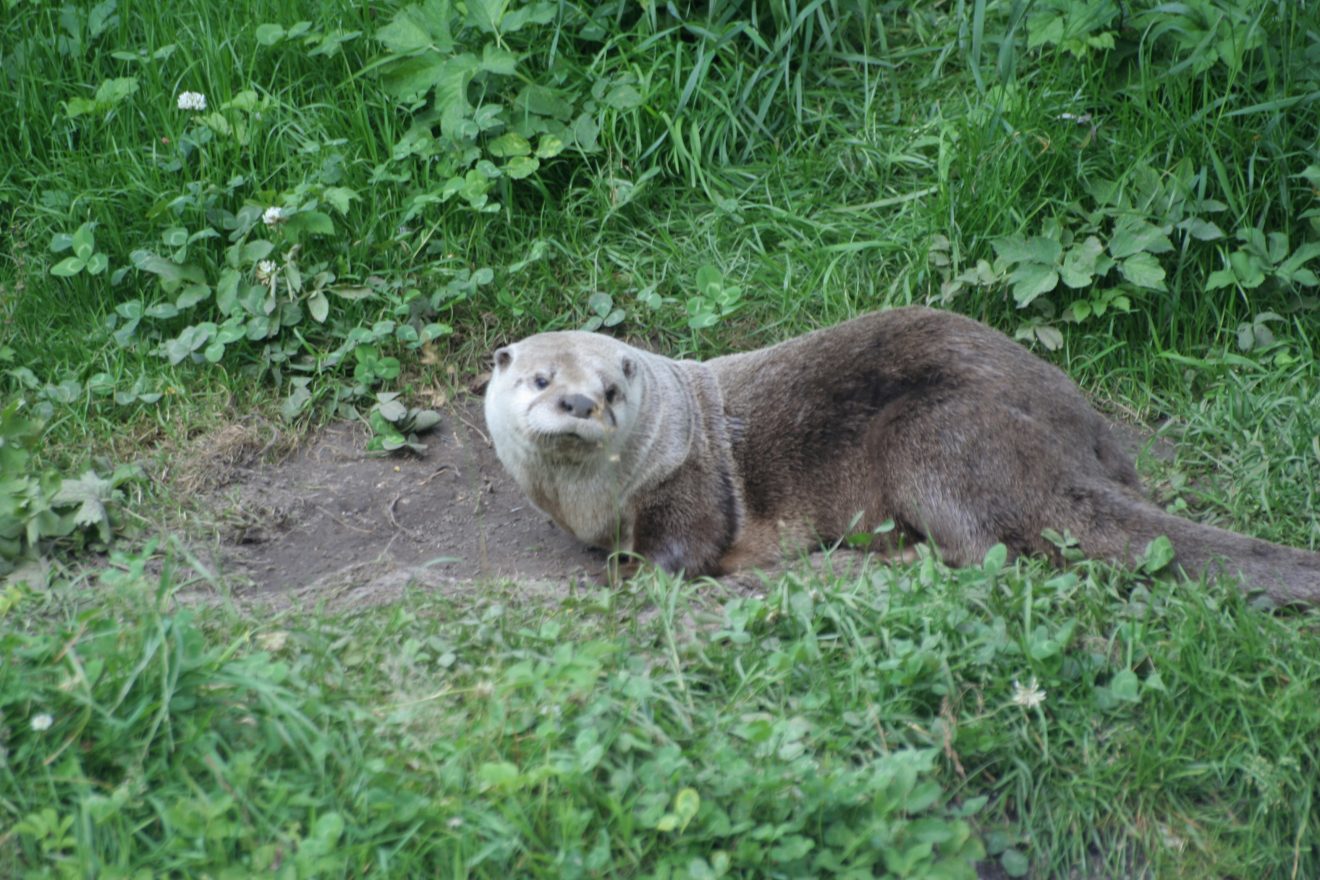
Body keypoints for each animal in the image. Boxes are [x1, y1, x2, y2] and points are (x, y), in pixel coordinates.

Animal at [485, 304, 1320, 606]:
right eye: (541, 378)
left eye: (611, 389)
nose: (580, 404)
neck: (594, 506)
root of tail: (1071, 448)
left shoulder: (685, 485)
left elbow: (684, 550)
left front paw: (628, 579)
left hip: (929, 438)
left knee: (988, 552)